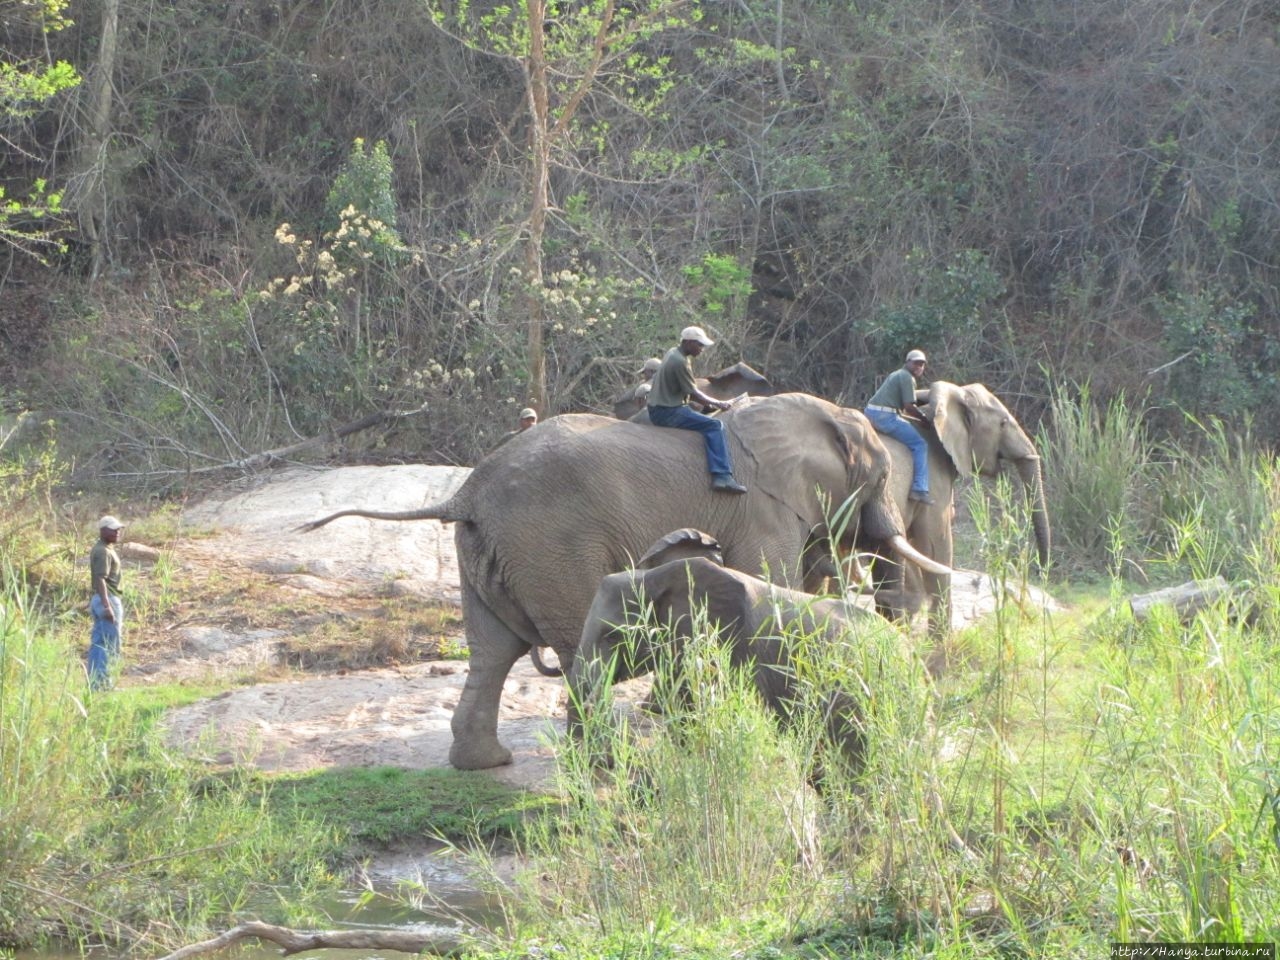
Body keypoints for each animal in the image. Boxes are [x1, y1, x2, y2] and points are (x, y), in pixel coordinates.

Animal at [296, 394, 942, 773]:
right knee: (568, 641)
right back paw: (606, 757)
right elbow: (769, 577)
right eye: (881, 475)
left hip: (481, 552)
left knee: (492, 650)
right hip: (553, 545)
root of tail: (467, 493)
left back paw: (487, 764)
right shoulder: (764, 508)